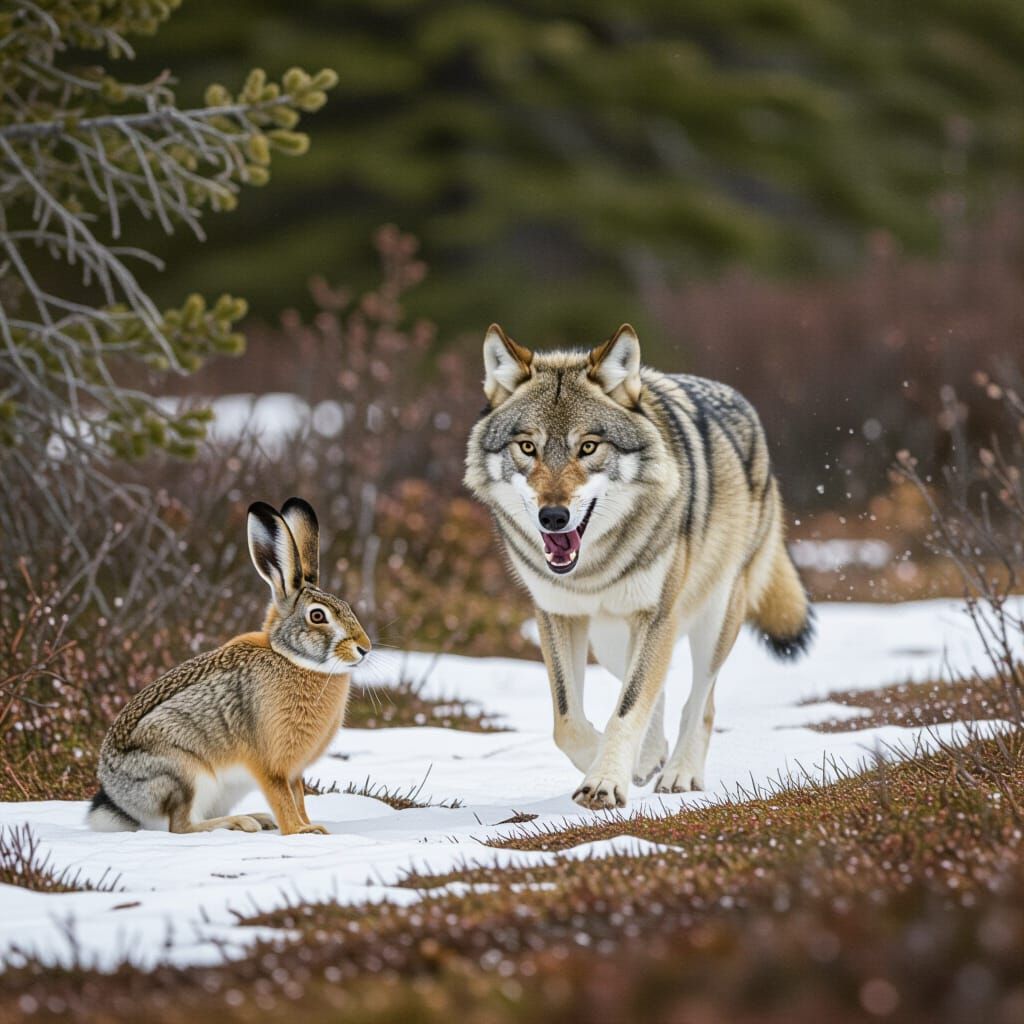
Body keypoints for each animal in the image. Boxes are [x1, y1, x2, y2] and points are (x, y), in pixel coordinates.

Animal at [87, 497, 371, 836]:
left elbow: (298, 797)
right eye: (318, 616)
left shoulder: (294, 771)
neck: (289, 657)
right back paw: (241, 822)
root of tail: (117, 798)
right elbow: (282, 798)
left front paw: (308, 825)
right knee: (180, 826)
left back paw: (258, 819)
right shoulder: (270, 763)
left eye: (348, 607)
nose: (364, 649)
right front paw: (301, 832)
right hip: (184, 773)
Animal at [465, 323, 812, 810]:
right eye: (527, 447)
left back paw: (681, 773)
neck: (593, 571)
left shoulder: (657, 614)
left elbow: (626, 710)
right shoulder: (556, 614)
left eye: (588, 447)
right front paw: (611, 763)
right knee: (656, 689)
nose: (553, 517)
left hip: (713, 618)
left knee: (700, 703)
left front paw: (605, 780)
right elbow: (569, 721)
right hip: (611, 640)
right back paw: (651, 759)